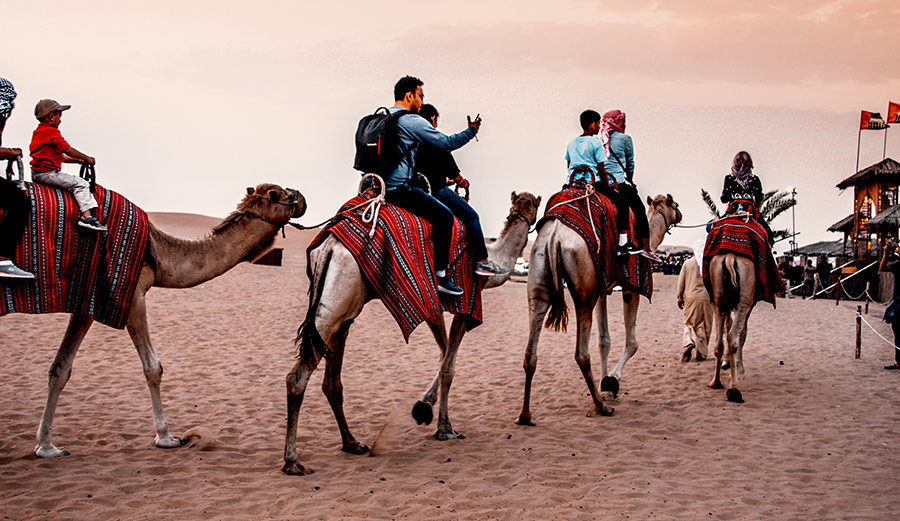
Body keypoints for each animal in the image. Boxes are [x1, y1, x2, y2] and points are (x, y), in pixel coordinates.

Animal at [284, 191, 540, 476]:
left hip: (343, 311)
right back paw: (293, 460)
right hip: (338, 301)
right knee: (297, 377)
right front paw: (444, 428)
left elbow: (444, 354)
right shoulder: (466, 304)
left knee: (331, 381)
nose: (530, 215)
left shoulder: (433, 305)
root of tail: (329, 246)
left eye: (530, 203)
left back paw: (351, 443)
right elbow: (448, 367)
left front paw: (424, 407)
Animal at [516, 193, 680, 424]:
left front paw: (606, 386)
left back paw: (525, 415)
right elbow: (632, 343)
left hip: (539, 277)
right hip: (584, 290)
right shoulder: (631, 287)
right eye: (675, 205)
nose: (680, 214)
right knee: (581, 354)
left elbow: (604, 341)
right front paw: (611, 381)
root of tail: (554, 236)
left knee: (530, 351)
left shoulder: (603, 289)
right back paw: (600, 407)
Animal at [708, 252, 756, 402]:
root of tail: (730, 258)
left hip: (718, 299)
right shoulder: (750, 303)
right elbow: (742, 333)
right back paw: (734, 389)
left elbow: (727, 326)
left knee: (719, 342)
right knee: (733, 337)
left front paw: (728, 362)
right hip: (744, 300)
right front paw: (740, 370)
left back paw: (715, 382)